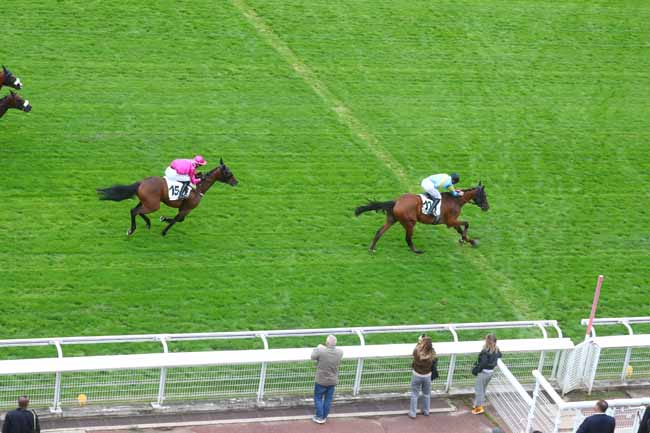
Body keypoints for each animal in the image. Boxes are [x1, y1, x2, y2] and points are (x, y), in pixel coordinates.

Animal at [95, 157, 237, 235]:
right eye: (229, 173)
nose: (236, 182)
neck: (199, 187)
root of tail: (142, 182)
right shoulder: (187, 208)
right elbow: (178, 219)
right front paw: (164, 228)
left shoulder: (183, 208)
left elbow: (178, 219)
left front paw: (163, 220)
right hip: (154, 205)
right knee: (135, 211)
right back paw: (132, 230)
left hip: (147, 202)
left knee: (135, 210)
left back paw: (147, 223)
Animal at [354, 182, 486, 253]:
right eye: (484, 195)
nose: (487, 207)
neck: (456, 200)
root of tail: (396, 202)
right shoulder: (450, 221)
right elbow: (466, 223)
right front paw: (463, 239)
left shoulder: (452, 222)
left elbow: (461, 229)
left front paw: (471, 241)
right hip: (409, 222)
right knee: (408, 238)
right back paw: (416, 251)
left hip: (392, 219)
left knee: (379, 232)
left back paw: (372, 248)